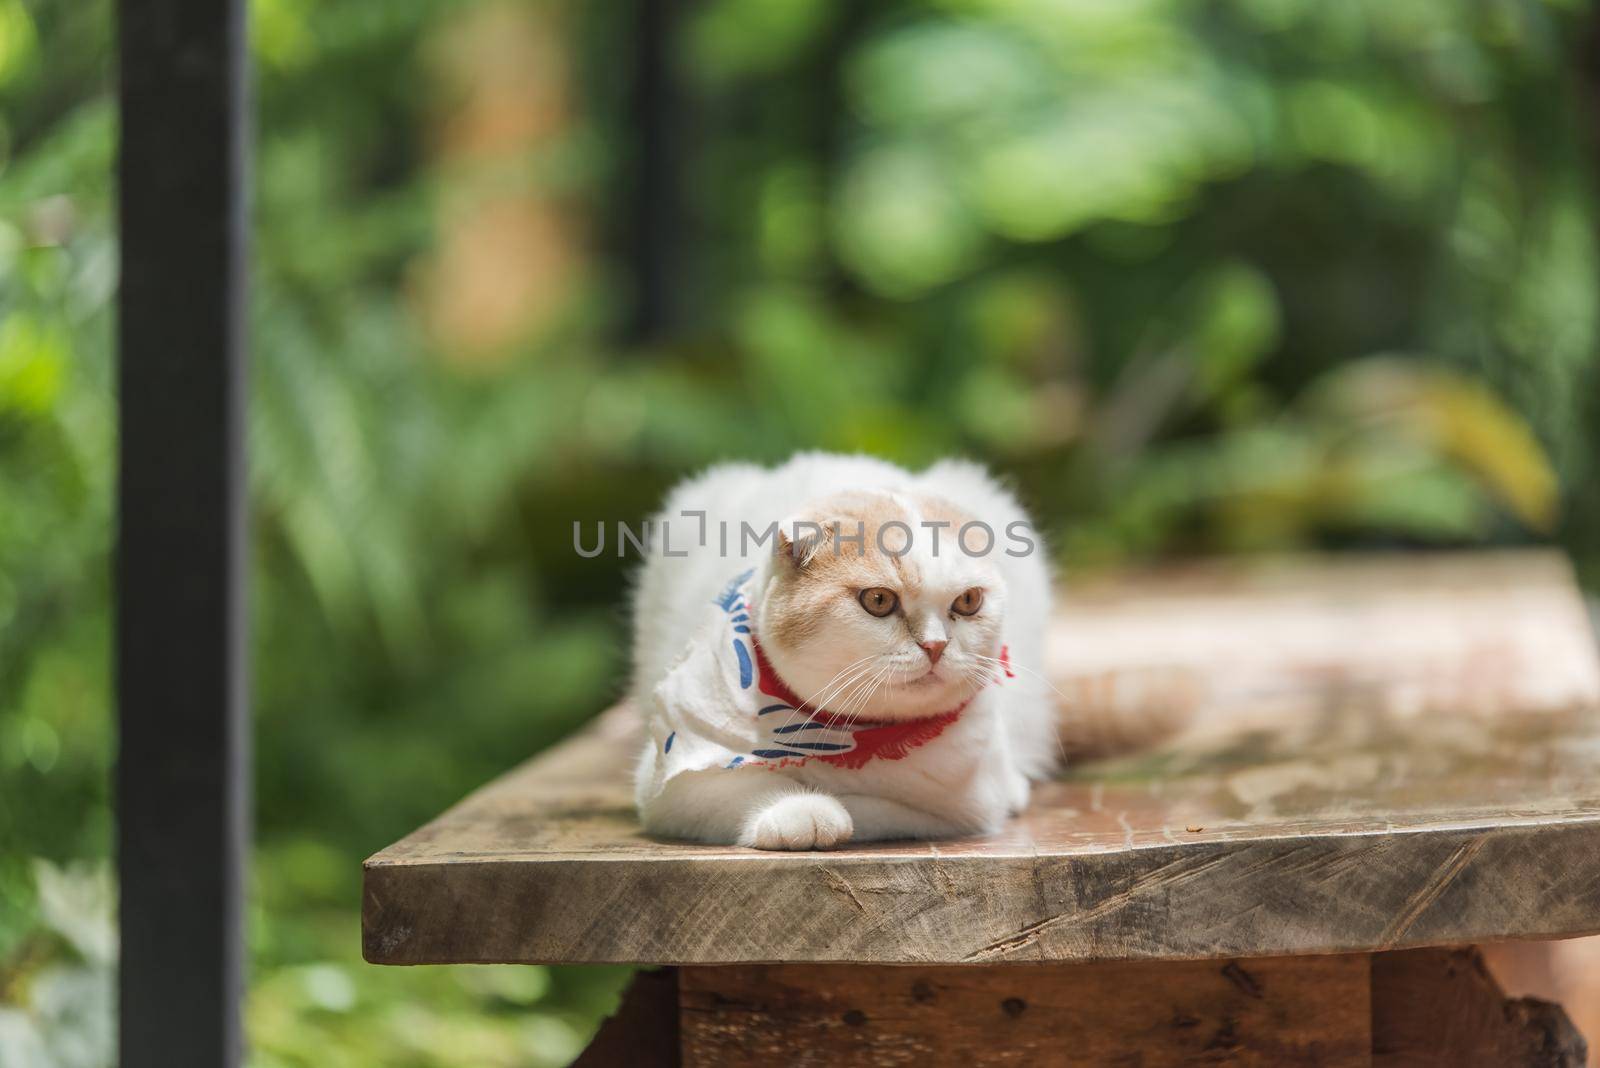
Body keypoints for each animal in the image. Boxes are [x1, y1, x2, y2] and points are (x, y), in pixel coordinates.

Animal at [627, 450, 1062, 850]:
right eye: (879, 600)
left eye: (969, 600)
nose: (936, 645)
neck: (842, 738)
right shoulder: (667, 782)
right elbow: (743, 785)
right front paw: (801, 809)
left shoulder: (965, 804)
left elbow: (872, 808)